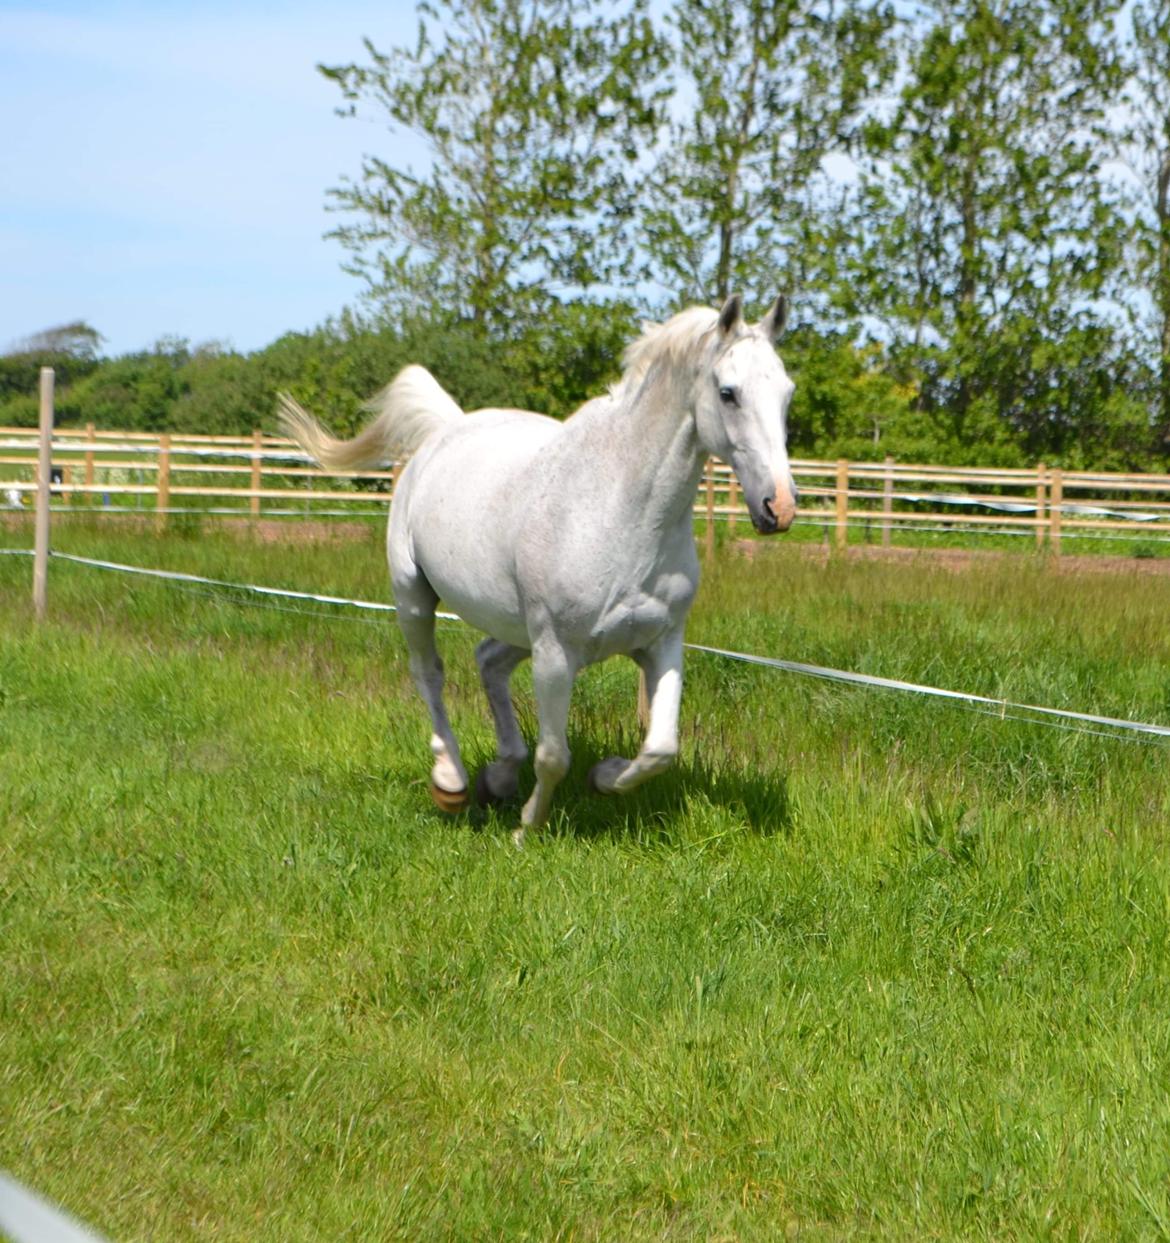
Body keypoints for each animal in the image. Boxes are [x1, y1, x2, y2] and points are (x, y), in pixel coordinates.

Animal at [278, 295, 800, 850]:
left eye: (786, 392)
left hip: (515, 627)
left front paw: (603, 776)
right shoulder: (555, 650)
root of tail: (446, 429)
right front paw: (527, 829)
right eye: (728, 393)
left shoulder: (662, 642)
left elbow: (660, 748)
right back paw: (452, 782)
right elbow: (554, 755)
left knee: (488, 661)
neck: (620, 510)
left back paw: (499, 776)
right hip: (413, 597)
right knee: (430, 673)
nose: (780, 507)